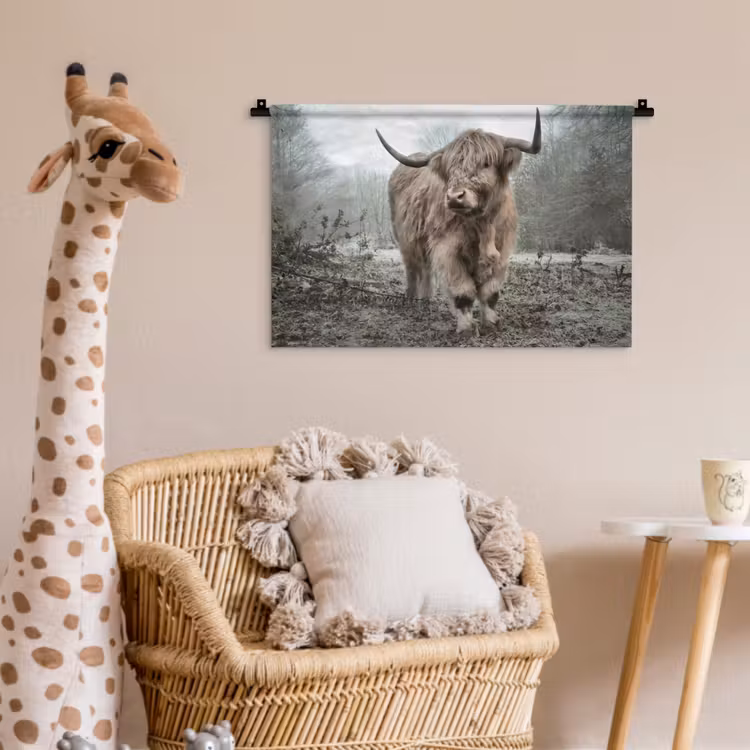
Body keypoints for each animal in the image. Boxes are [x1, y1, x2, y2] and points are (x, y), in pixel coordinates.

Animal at [376, 109, 541, 334]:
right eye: (451, 168)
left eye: (486, 163)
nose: (455, 197)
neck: (482, 226)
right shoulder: (447, 250)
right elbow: (463, 292)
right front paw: (466, 328)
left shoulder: (503, 250)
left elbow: (490, 292)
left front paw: (491, 323)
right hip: (405, 238)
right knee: (413, 268)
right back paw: (412, 300)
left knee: (426, 270)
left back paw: (425, 301)